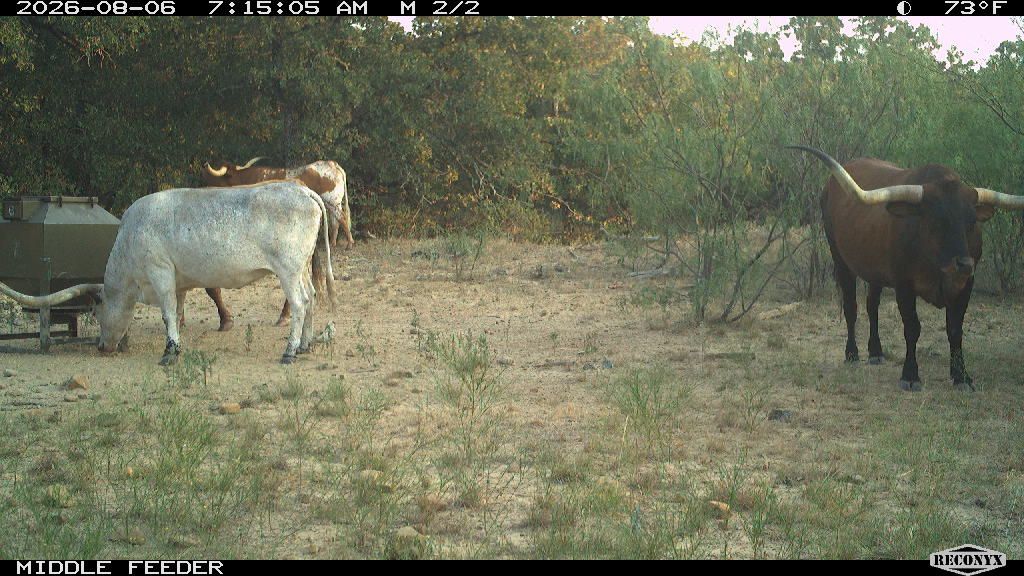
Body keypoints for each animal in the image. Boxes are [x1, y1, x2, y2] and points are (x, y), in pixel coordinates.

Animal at [0, 180, 336, 365]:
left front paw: (169, 351)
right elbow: (179, 309)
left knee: (299, 303)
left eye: (96, 313)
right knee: (311, 297)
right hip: (302, 268)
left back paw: (290, 351)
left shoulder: (159, 271)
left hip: (287, 268)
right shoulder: (178, 281)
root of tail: (304, 192)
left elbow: (167, 313)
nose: (101, 347)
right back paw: (305, 345)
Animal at [788, 145, 1024, 391]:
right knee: (851, 307)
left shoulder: (966, 285)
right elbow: (912, 328)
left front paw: (961, 376)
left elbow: (955, 329)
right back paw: (852, 353)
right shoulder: (903, 284)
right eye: (937, 221)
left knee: (872, 305)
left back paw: (875, 352)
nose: (964, 264)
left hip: (875, 269)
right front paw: (910, 375)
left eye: (971, 222)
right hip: (840, 258)